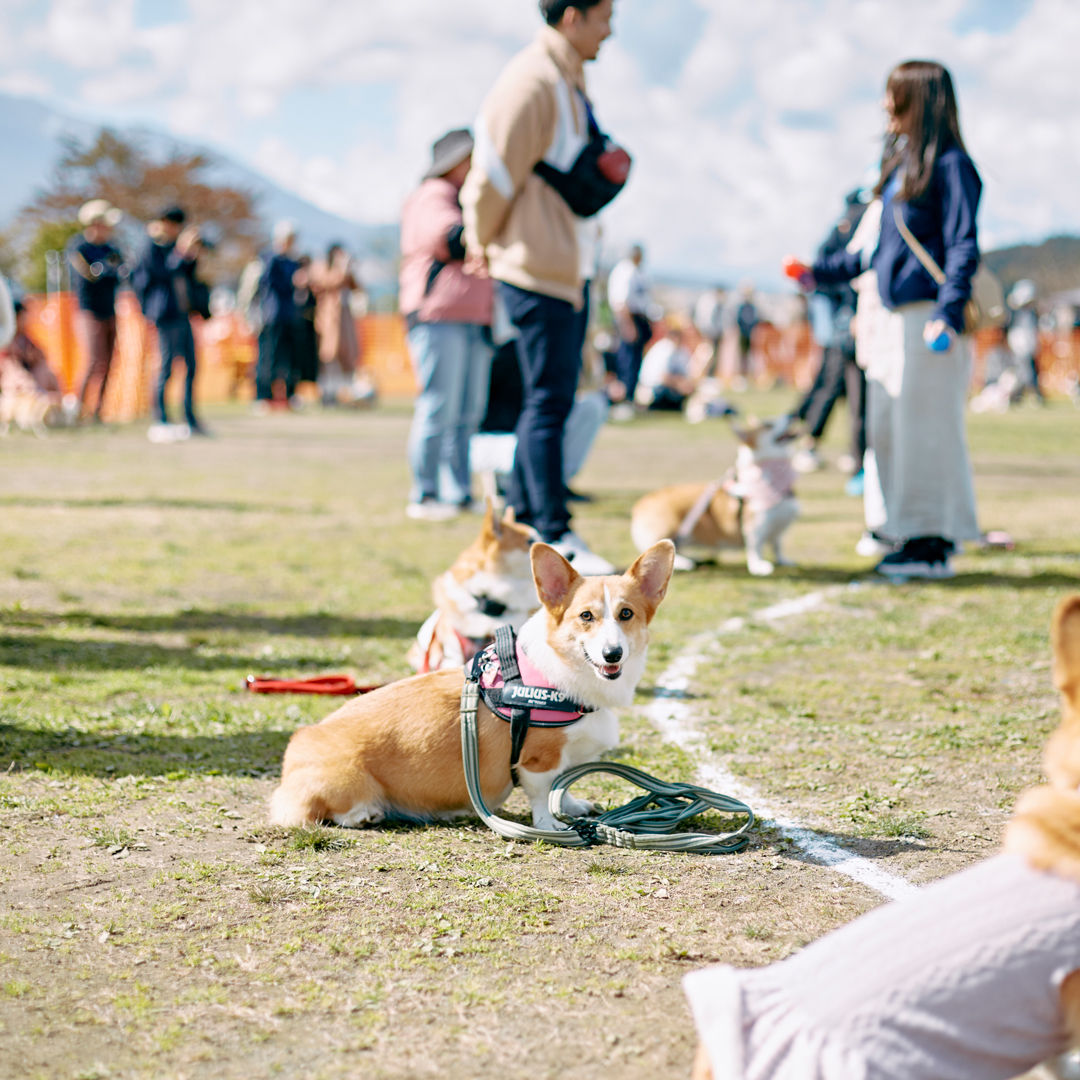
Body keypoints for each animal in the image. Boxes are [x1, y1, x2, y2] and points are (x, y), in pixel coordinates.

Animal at [270, 544, 673, 829]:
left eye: (626, 614)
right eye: (586, 616)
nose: (612, 654)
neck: (566, 674)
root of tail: (291, 758)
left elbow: (565, 785)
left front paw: (573, 807)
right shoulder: (537, 761)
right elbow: (543, 794)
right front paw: (550, 825)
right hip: (345, 780)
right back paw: (364, 813)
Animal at [630, 414, 799, 583]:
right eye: (768, 424)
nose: (792, 415)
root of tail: (641, 503)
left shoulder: (778, 529)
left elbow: (777, 546)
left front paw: (783, 560)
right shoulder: (755, 526)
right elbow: (755, 548)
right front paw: (758, 567)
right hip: (669, 528)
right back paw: (685, 563)